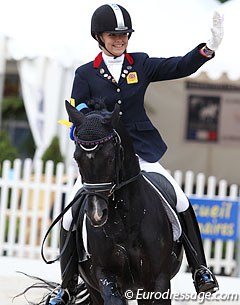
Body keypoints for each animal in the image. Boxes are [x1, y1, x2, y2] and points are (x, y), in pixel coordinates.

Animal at [65, 100, 182, 304]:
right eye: (76, 158)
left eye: (110, 157)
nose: (96, 214)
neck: (127, 220)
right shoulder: (106, 275)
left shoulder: (159, 279)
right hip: (95, 288)